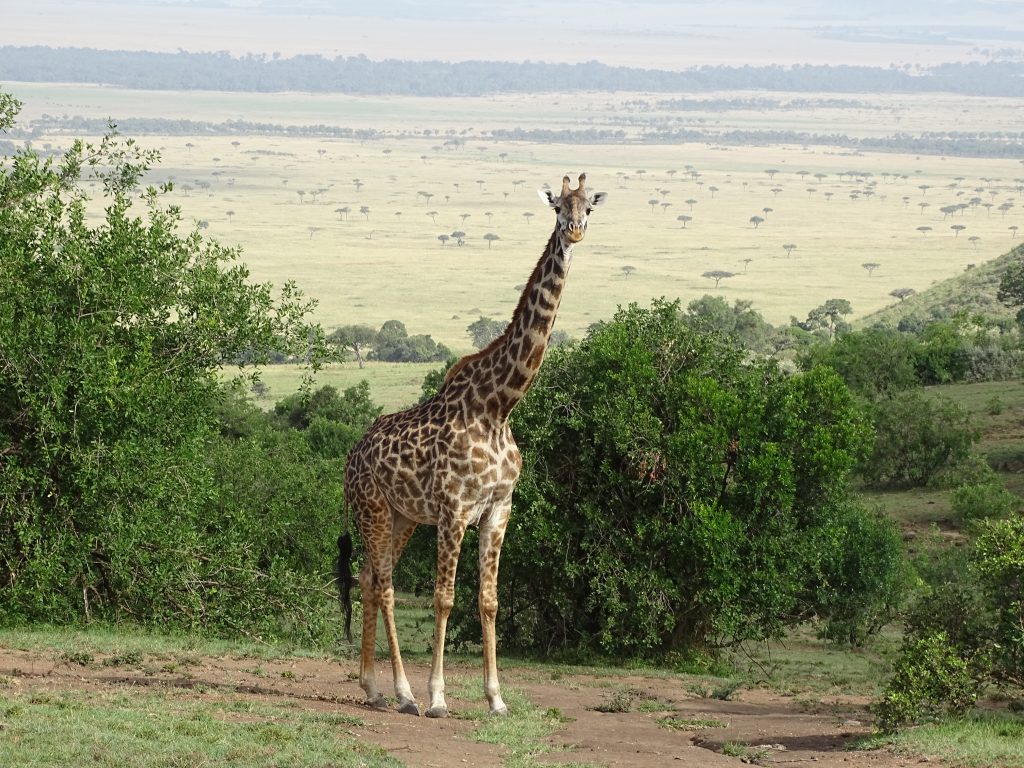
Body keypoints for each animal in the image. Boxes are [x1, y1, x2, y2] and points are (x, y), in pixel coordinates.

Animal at [339, 171, 602, 720]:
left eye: (590, 206)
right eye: (556, 207)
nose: (573, 231)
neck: (499, 406)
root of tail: (351, 457)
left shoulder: (499, 507)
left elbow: (489, 600)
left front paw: (496, 698)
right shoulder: (455, 509)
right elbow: (443, 597)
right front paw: (439, 697)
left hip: (403, 517)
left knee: (371, 579)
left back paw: (373, 688)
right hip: (373, 508)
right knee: (387, 587)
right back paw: (405, 694)